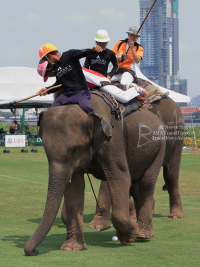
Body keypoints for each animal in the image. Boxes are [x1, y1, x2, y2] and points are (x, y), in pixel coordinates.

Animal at [24, 93, 166, 256]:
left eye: (74, 150)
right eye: (46, 151)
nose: (35, 251)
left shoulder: (113, 140)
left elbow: (120, 176)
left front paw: (129, 236)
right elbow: (74, 187)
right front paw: (72, 248)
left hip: (159, 146)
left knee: (145, 184)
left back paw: (143, 234)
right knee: (135, 186)